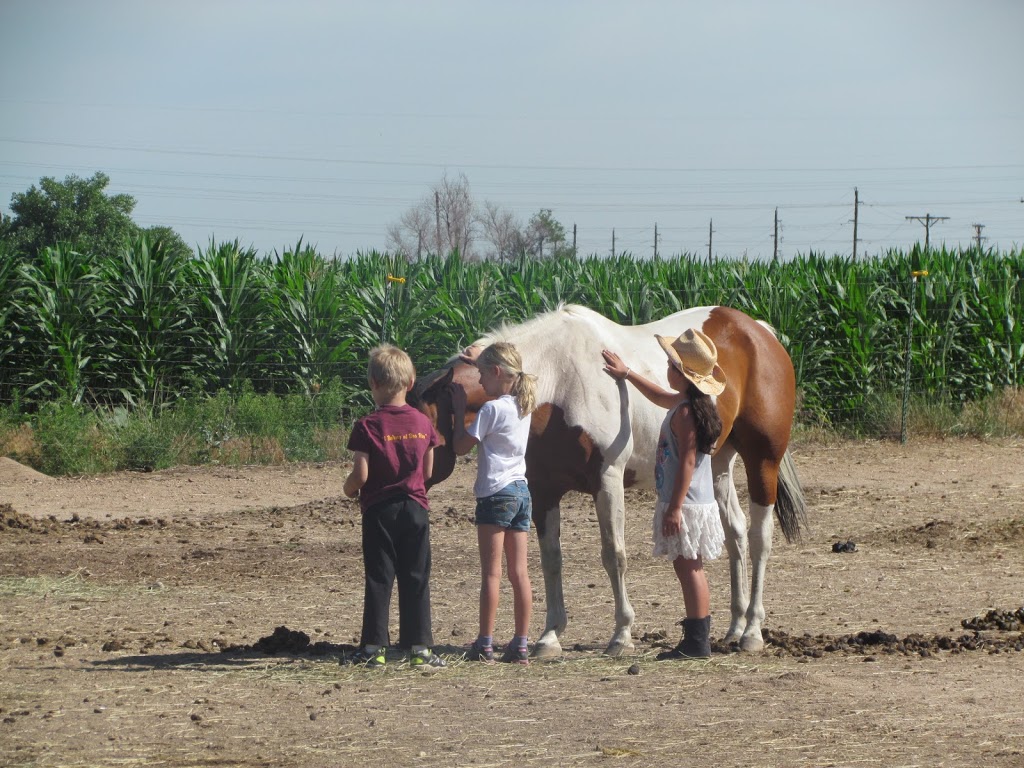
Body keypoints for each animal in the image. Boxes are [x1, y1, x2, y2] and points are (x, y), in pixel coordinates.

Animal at [409, 303, 806, 659]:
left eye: (423, 430)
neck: (559, 382)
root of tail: (758, 331)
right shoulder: (543, 490)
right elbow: (551, 560)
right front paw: (549, 637)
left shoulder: (608, 480)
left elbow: (614, 555)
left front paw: (621, 635)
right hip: (718, 462)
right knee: (735, 532)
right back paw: (735, 626)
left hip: (762, 462)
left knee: (759, 538)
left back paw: (752, 631)